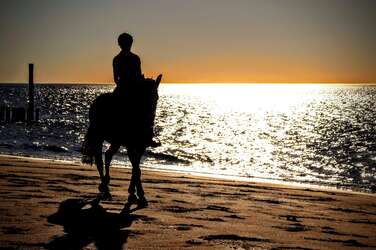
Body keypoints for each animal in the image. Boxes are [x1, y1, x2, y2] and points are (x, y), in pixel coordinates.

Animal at [82, 74, 162, 209]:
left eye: (156, 98)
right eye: (142, 97)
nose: (149, 121)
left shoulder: (141, 146)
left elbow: (136, 168)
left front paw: (135, 194)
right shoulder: (130, 146)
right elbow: (136, 168)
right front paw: (138, 194)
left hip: (116, 141)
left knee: (108, 155)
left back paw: (105, 185)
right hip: (99, 137)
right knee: (99, 161)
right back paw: (105, 190)